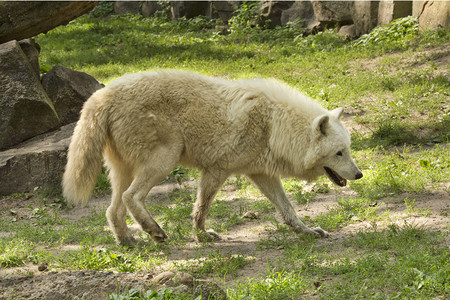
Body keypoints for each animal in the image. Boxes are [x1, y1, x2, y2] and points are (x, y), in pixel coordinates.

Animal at [62, 71, 362, 245]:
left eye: (348, 150)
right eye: (339, 153)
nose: (359, 174)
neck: (276, 125)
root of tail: (101, 95)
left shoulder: (261, 174)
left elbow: (287, 209)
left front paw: (307, 232)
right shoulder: (217, 170)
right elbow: (201, 208)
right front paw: (202, 236)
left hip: (123, 170)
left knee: (113, 210)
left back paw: (129, 241)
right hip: (165, 159)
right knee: (131, 197)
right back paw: (155, 231)